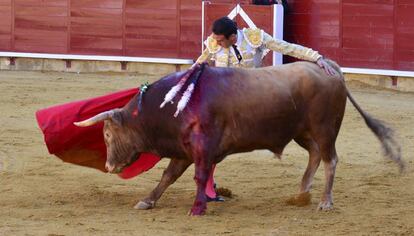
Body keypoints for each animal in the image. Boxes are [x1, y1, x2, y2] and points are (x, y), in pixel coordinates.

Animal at [75, 60, 404, 216]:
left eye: (107, 133)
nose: (108, 166)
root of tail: (331, 69)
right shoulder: (184, 149)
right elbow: (168, 176)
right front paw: (147, 200)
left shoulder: (202, 148)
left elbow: (198, 176)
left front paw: (198, 208)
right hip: (300, 131)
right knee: (314, 155)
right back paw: (301, 194)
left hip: (325, 128)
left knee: (330, 159)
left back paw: (324, 202)